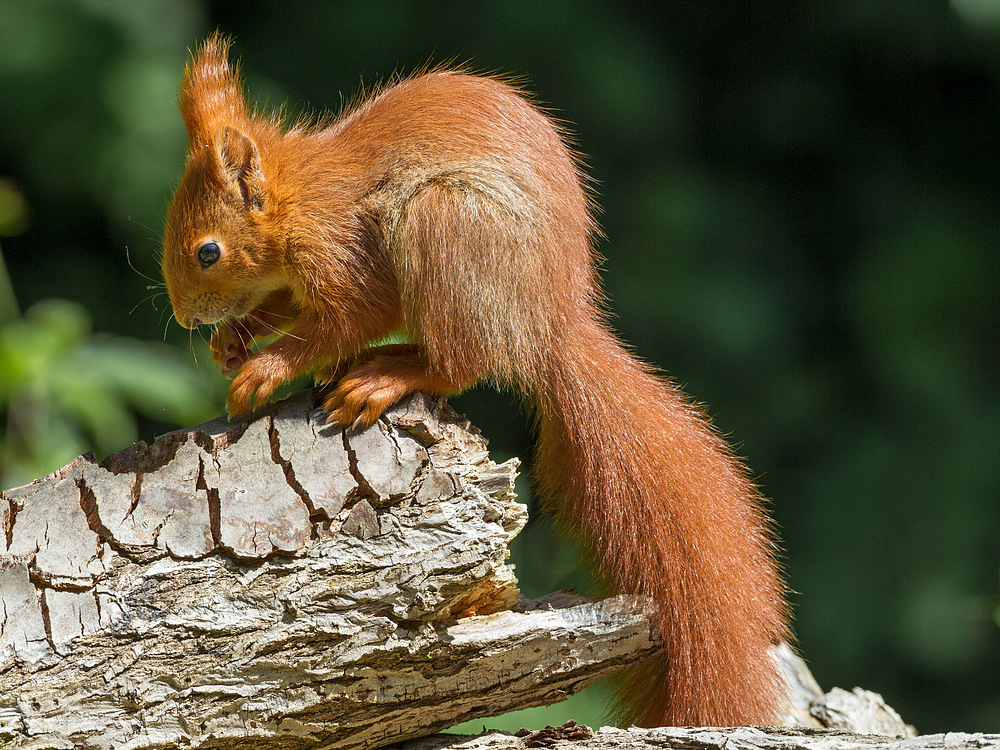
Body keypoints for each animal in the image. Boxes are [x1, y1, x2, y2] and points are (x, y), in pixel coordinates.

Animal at [162, 35, 788, 728]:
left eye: (209, 252)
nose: (184, 316)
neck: (299, 200)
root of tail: (548, 324)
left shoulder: (346, 254)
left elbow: (346, 320)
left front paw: (264, 366)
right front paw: (232, 339)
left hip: (448, 227)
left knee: (459, 364)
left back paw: (384, 374)